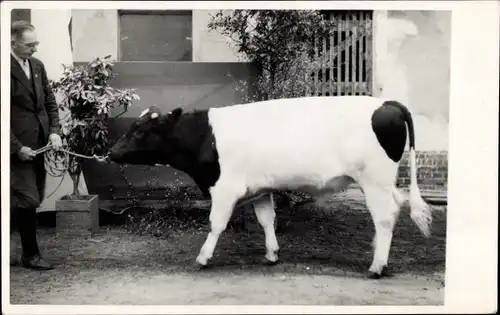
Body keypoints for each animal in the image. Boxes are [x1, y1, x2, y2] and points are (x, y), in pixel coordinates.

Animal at [109, 95, 434, 278]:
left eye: (140, 131)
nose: (111, 152)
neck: (204, 136)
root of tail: (387, 102)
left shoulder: (225, 188)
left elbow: (216, 224)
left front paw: (203, 258)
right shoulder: (260, 188)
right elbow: (266, 220)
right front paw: (272, 254)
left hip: (375, 180)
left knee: (384, 217)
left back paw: (377, 266)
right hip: (383, 183)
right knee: (393, 210)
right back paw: (377, 252)